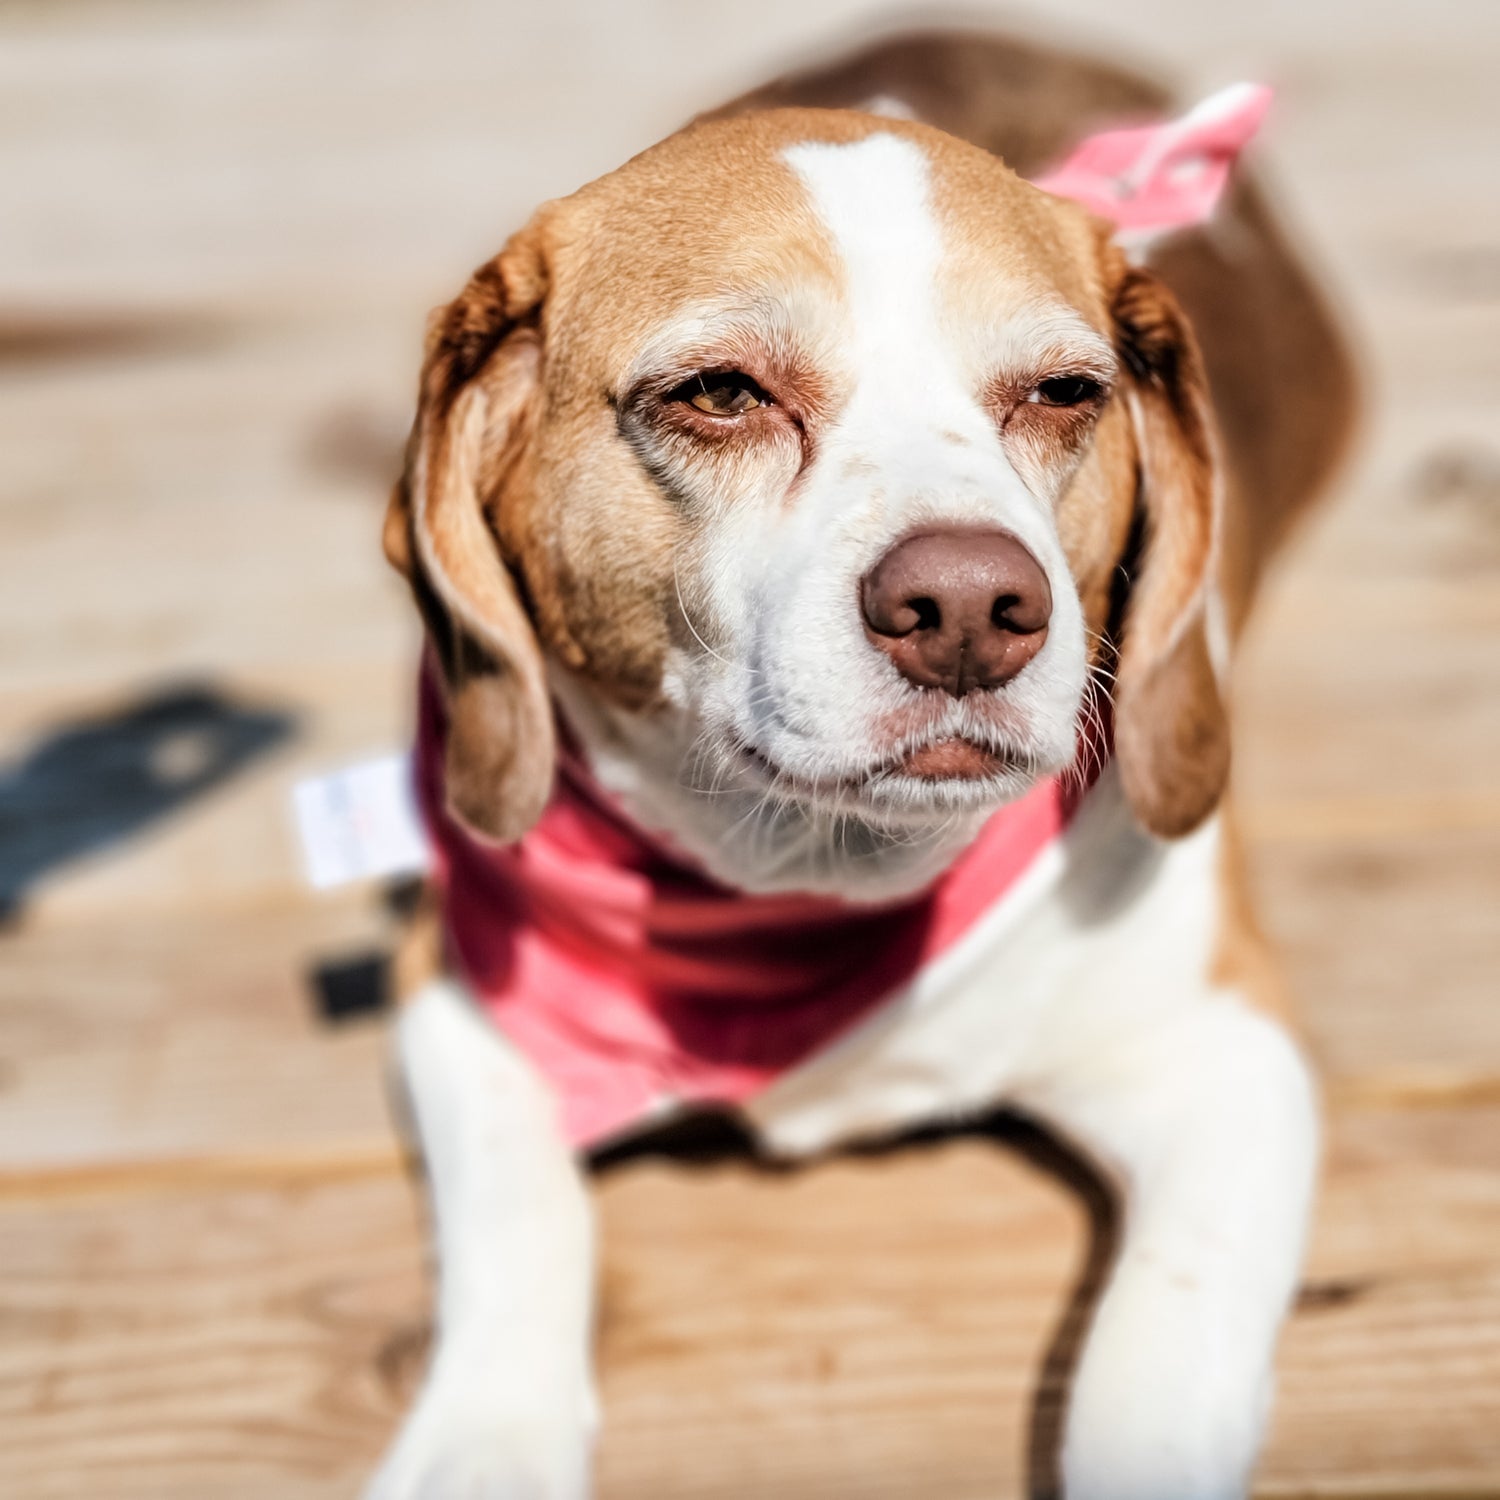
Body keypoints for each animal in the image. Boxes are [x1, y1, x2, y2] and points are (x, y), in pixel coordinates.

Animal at [366, 26, 1362, 1500]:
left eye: (1063, 394)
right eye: (721, 393)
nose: (971, 608)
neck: (814, 883)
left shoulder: (1226, 1056)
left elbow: (1149, 1366)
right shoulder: (460, 1000)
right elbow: (523, 1210)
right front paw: (486, 1444)